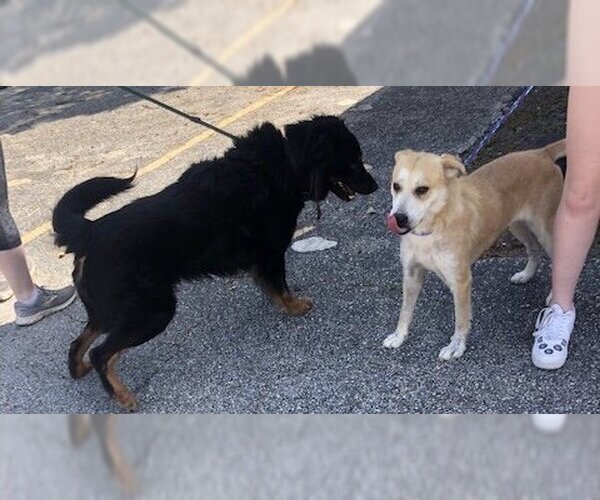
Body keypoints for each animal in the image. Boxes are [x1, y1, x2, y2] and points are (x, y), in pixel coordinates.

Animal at [54, 116, 378, 410]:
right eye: (353, 163)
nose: (375, 186)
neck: (289, 160)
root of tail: (91, 231)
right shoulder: (272, 251)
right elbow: (281, 284)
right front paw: (293, 306)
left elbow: (270, 285)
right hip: (153, 311)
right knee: (101, 354)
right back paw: (122, 396)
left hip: (112, 311)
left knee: (78, 344)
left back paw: (79, 371)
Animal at [384, 140, 564, 360]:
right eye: (396, 186)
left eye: (422, 190)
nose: (398, 218)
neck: (432, 229)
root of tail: (541, 153)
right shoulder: (411, 274)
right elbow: (405, 312)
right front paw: (399, 335)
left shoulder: (461, 282)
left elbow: (461, 320)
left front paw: (456, 346)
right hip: (517, 225)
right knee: (533, 248)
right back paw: (526, 274)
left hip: (545, 228)